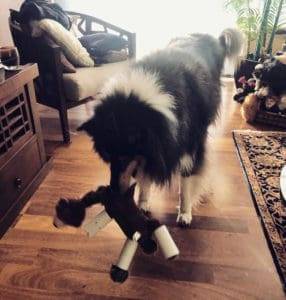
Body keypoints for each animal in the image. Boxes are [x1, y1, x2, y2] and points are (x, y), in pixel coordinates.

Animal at [79, 28, 244, 227]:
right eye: (107, 156)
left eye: (125, 156)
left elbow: (186, 183)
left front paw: (185, 213)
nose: (113, 191)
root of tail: (212, 38)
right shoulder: (152, 151)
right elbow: (146, 176)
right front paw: (143, 203)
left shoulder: (186, 147)